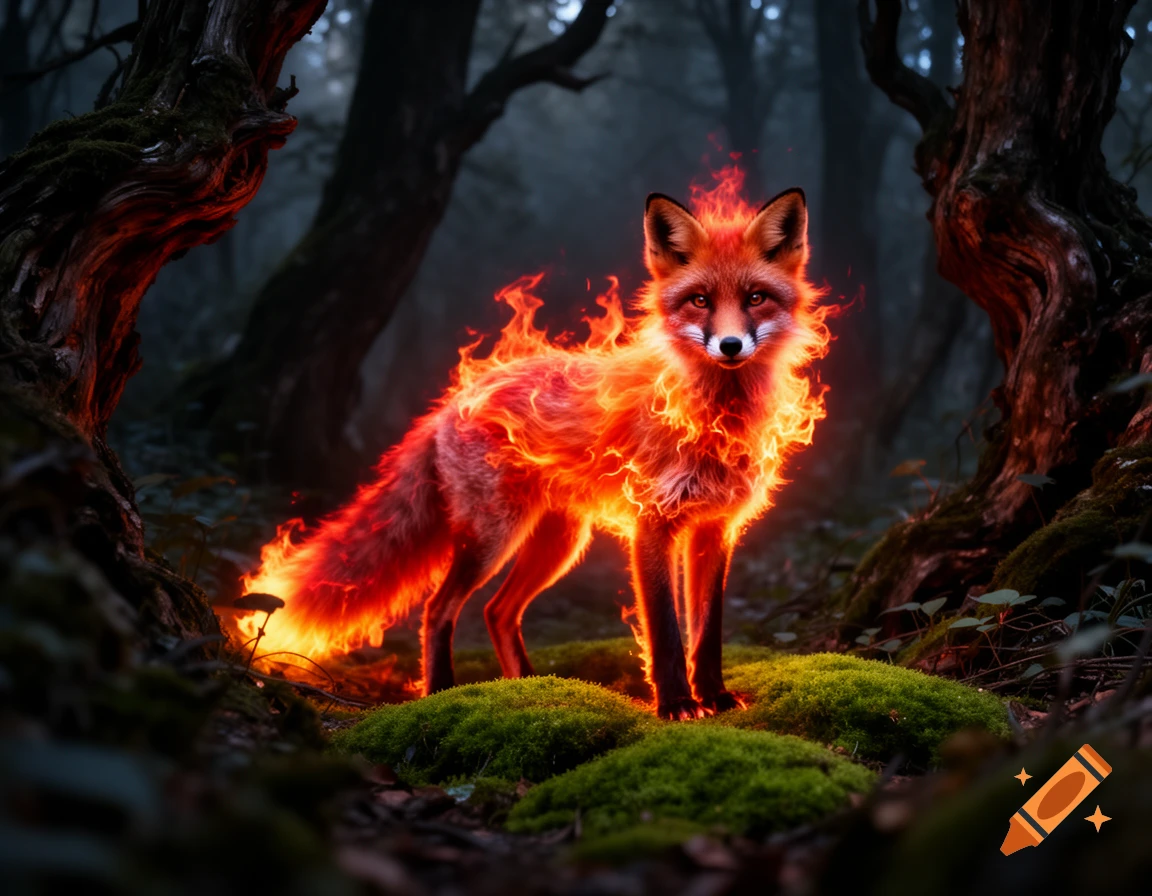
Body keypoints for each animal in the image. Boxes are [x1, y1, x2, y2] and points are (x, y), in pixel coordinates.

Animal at [239, 185, 826, 720]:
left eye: (755, 298)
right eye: (700, 300)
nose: (730, 346)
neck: (716, 418)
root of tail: (453, 400)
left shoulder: (715, 530)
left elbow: (707, 631)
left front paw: (715, 697)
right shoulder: (652, 525)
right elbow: (664, 631)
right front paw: (677, 703)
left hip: (559, 543)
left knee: (498, 612)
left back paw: (526, 687)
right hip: (493, 537)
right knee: (438, 609)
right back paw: (443, 691)